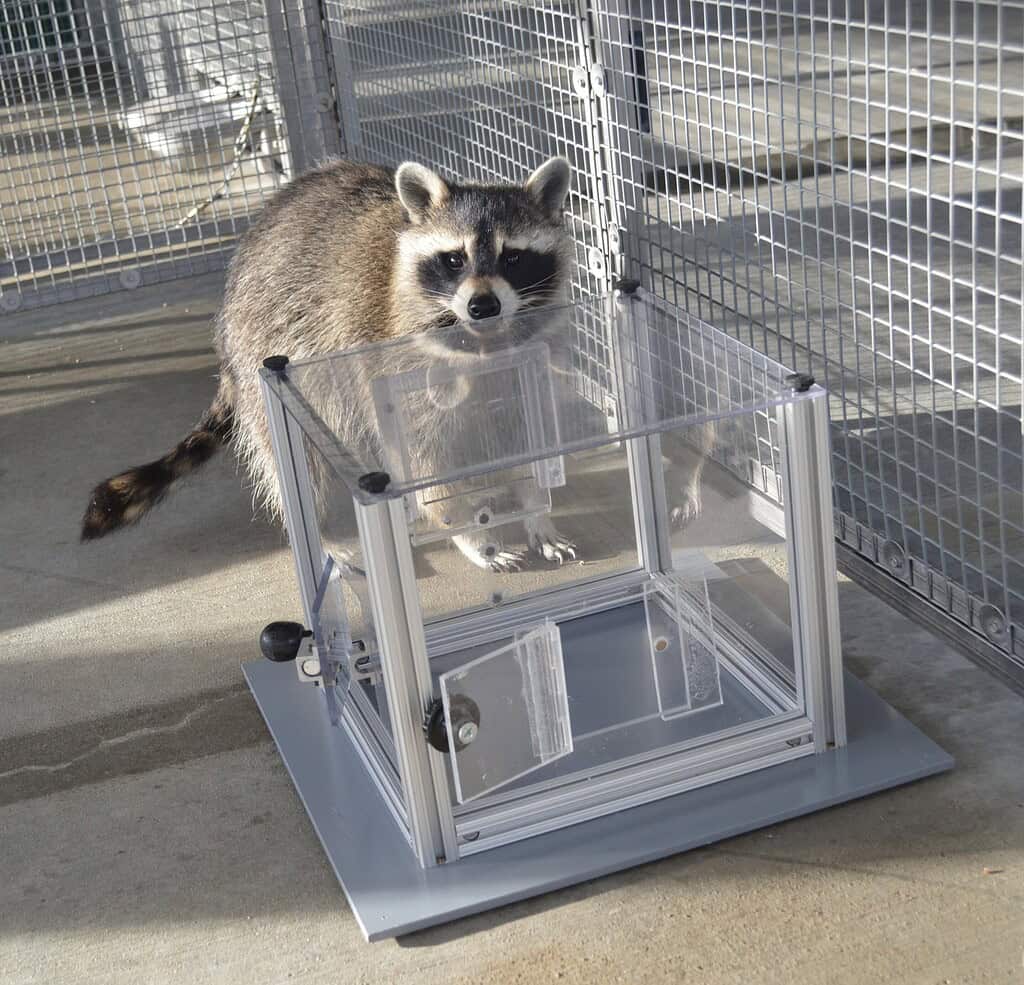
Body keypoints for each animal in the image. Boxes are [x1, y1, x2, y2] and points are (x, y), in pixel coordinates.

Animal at [80, 156, 577, 569]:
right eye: (454, 259)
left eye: (513, 257)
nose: (482, 306)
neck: (481, 344)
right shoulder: (394, 363)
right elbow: (424, 462)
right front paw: (472, 530)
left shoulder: (525, 367)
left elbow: (525, 436)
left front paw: (535, 507)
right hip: (265, 355)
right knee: (297, 467)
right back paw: (321, 534)